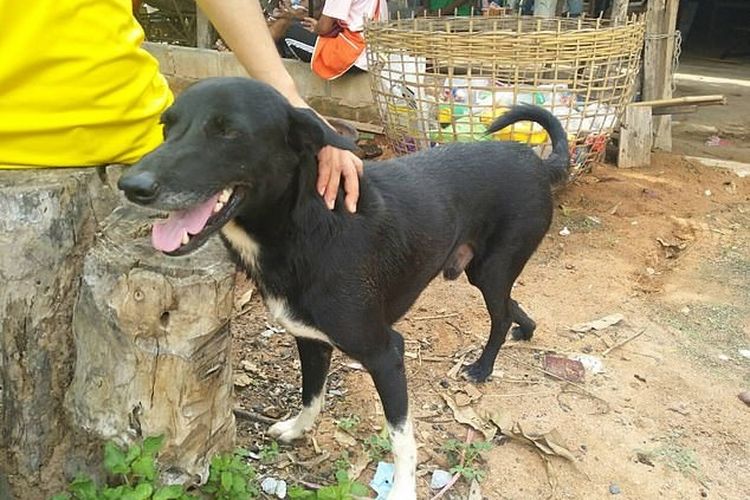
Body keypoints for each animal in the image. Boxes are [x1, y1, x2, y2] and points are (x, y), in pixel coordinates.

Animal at [119, 77, 568, 496]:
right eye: (166, 125)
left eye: (228, 131)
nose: (131, 185)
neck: (302, 230)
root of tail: (537, 163)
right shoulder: (310, 339)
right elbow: (311, 393)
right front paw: (297, 429)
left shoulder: (386, 353)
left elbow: (401, 439)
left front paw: (402, 490)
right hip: (484, 270)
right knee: (511, 305)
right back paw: (526, 330)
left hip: (492, 268)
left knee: (499, 315)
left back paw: (483, 366)